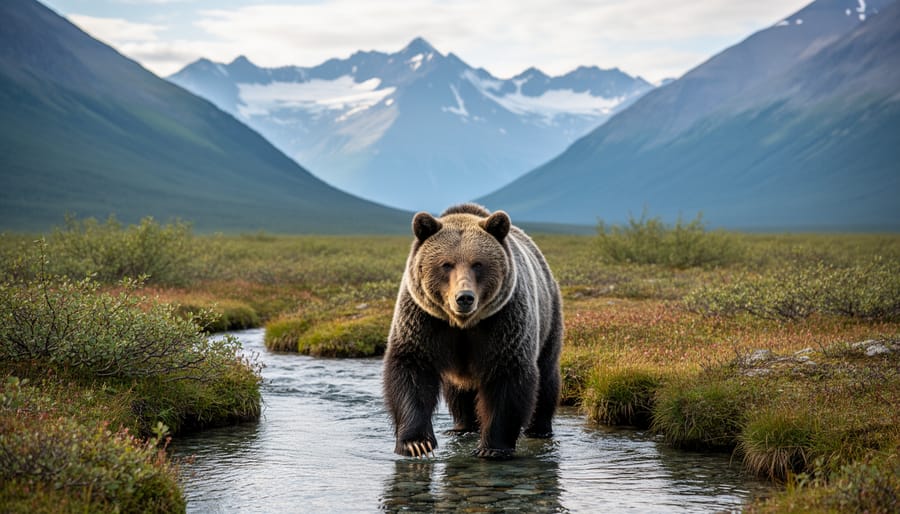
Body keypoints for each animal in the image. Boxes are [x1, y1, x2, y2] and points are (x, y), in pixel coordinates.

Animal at [383, 203, 563, 459]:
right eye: (446, 264)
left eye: (478, 263)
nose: (464, 298)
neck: (463, 325)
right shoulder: (424, 320)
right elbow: (412, 371)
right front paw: (416, 443)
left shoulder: (503, 322)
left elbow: (506, 379)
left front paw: (493, 447)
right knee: (458, 392)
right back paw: (462, 426)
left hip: (548, 317)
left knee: (547, 376)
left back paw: (540, 429)